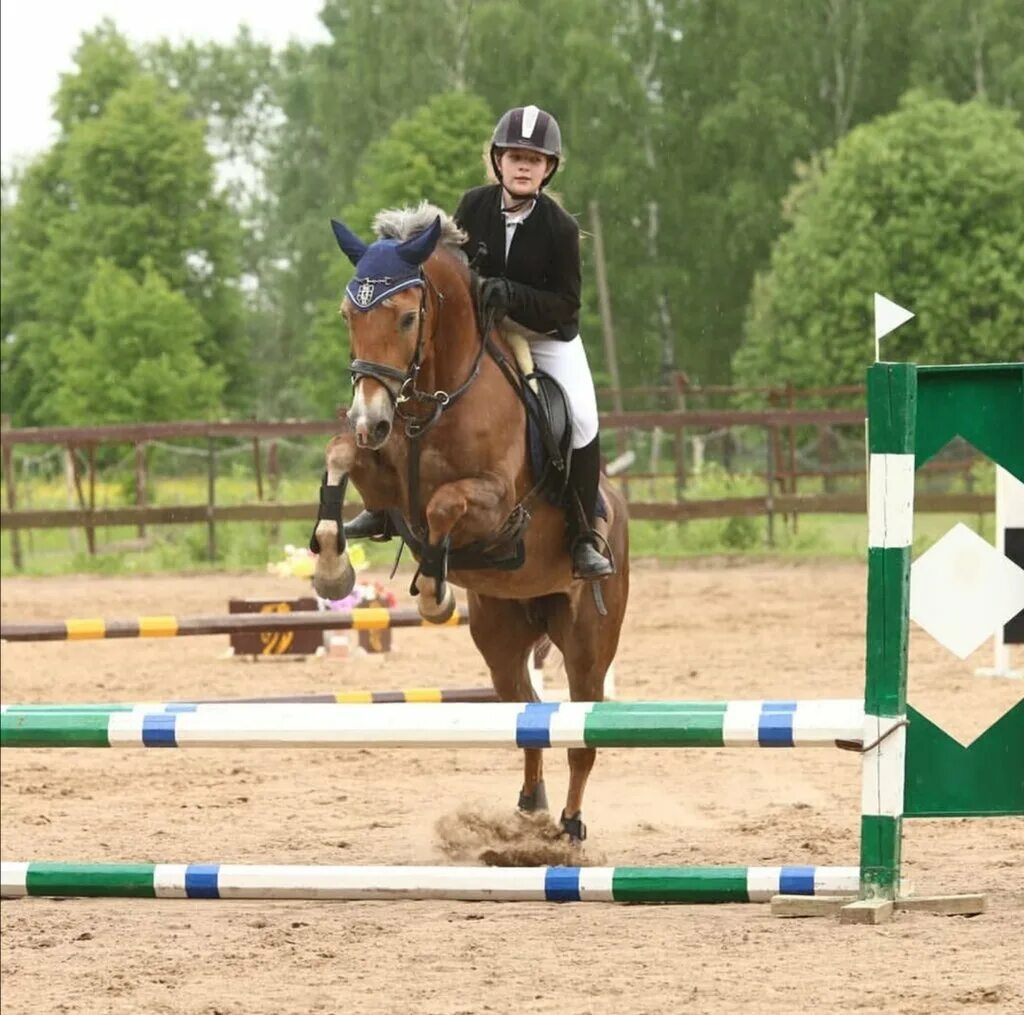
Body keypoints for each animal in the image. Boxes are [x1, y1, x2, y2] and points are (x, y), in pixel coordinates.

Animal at [307, 200, 626, 839]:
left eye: (408, 318)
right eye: (349, 313)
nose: (370, 418)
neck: (434, 398)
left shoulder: (498, 505)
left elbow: (443, 506)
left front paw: (435, 592)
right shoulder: (383, 474)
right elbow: (339, 454)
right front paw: (332, 566)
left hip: (588, 642)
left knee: (582, 734)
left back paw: (569, 826)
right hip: (502, 637)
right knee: (528, 713)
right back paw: (528, 807)